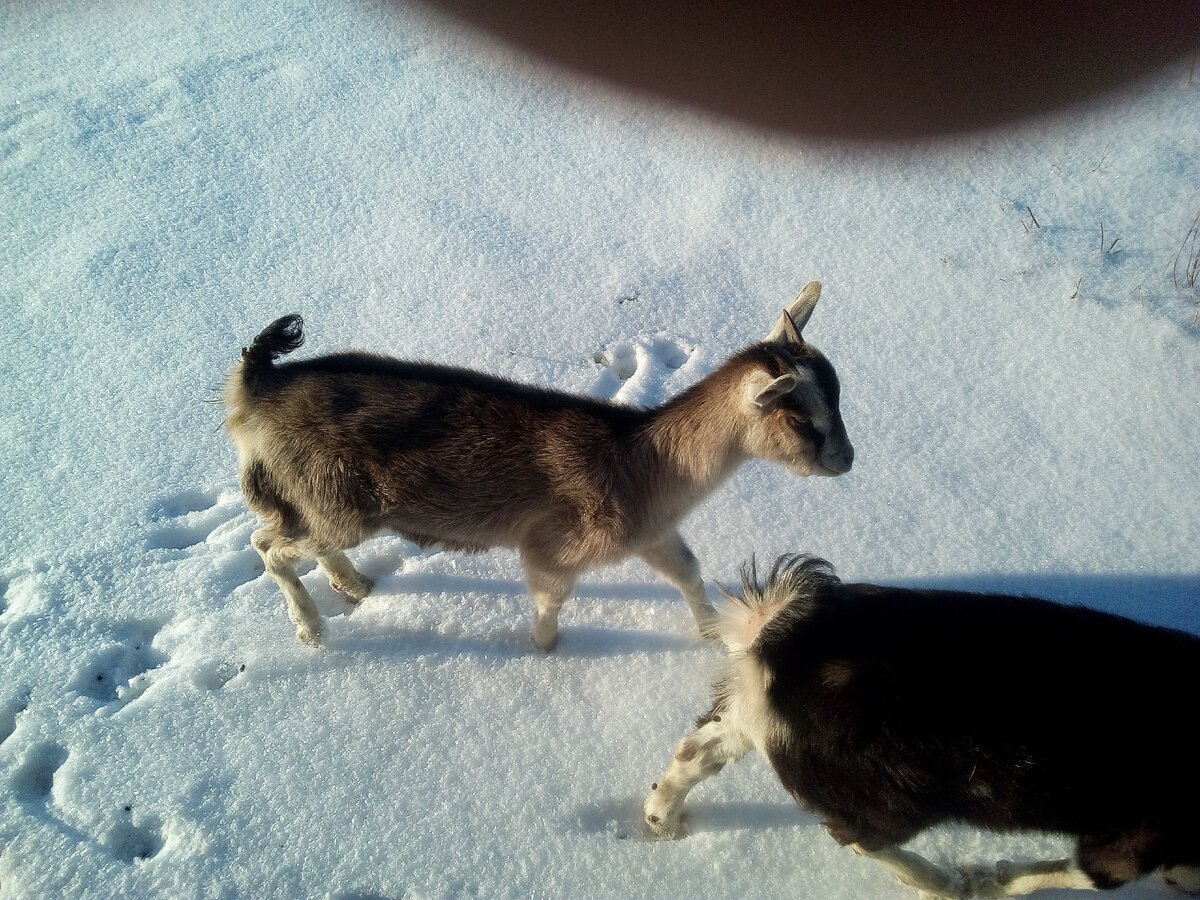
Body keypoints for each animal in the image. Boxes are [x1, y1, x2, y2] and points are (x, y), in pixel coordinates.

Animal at [220, 282, 849, 648]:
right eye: (801, 419)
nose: (845, 459)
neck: (641, 458)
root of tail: (257, 390)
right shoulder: (556, 545)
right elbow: (551, 599)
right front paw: (543, 652)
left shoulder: (653, 532)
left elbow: (689, 573)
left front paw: (715, 636)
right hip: (333, 496)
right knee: (267, 544)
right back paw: (312, 627)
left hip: (319, 498)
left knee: (298, 540)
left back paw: (353, 585)